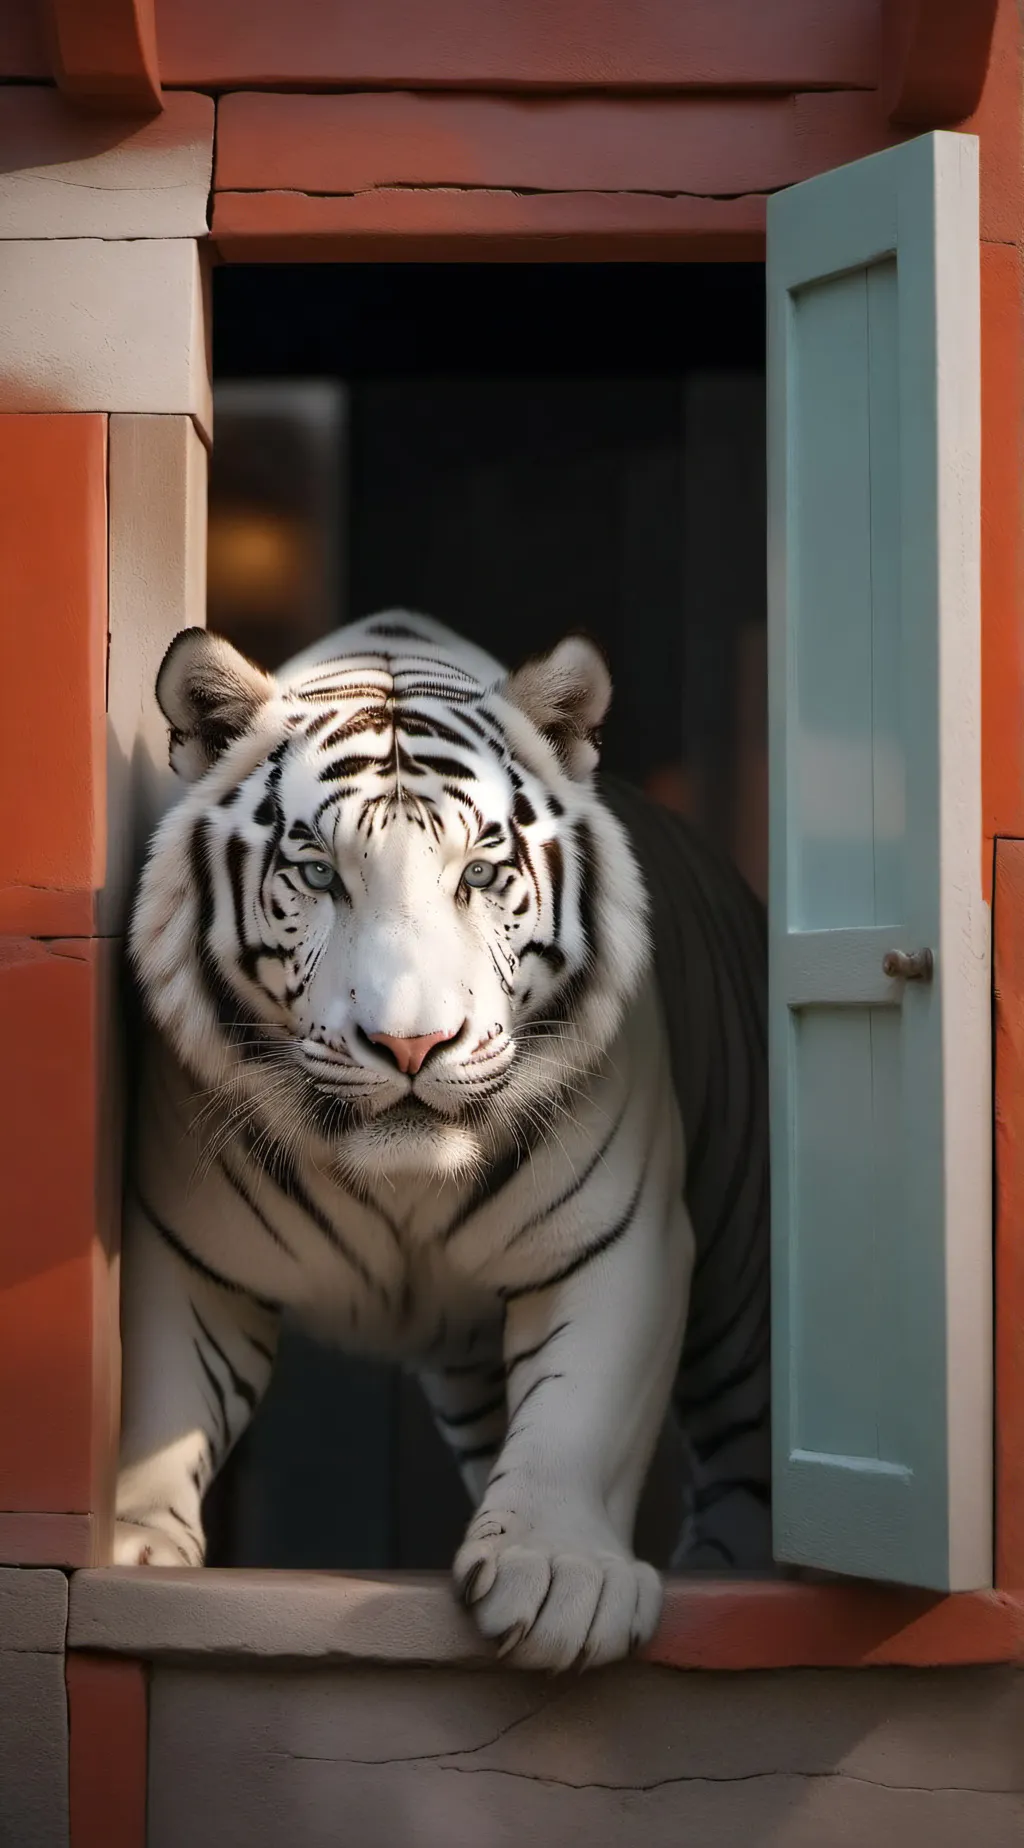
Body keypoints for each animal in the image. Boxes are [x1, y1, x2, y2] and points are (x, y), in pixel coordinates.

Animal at [115, 610, 771, 1671]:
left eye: (480, 873)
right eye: (317, 874)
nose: (411, 1044)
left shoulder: (619, 1241)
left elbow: (581, 1413)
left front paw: (558, 1577)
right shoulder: (184, 1251)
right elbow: (159, 1400)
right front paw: (128, 1546)